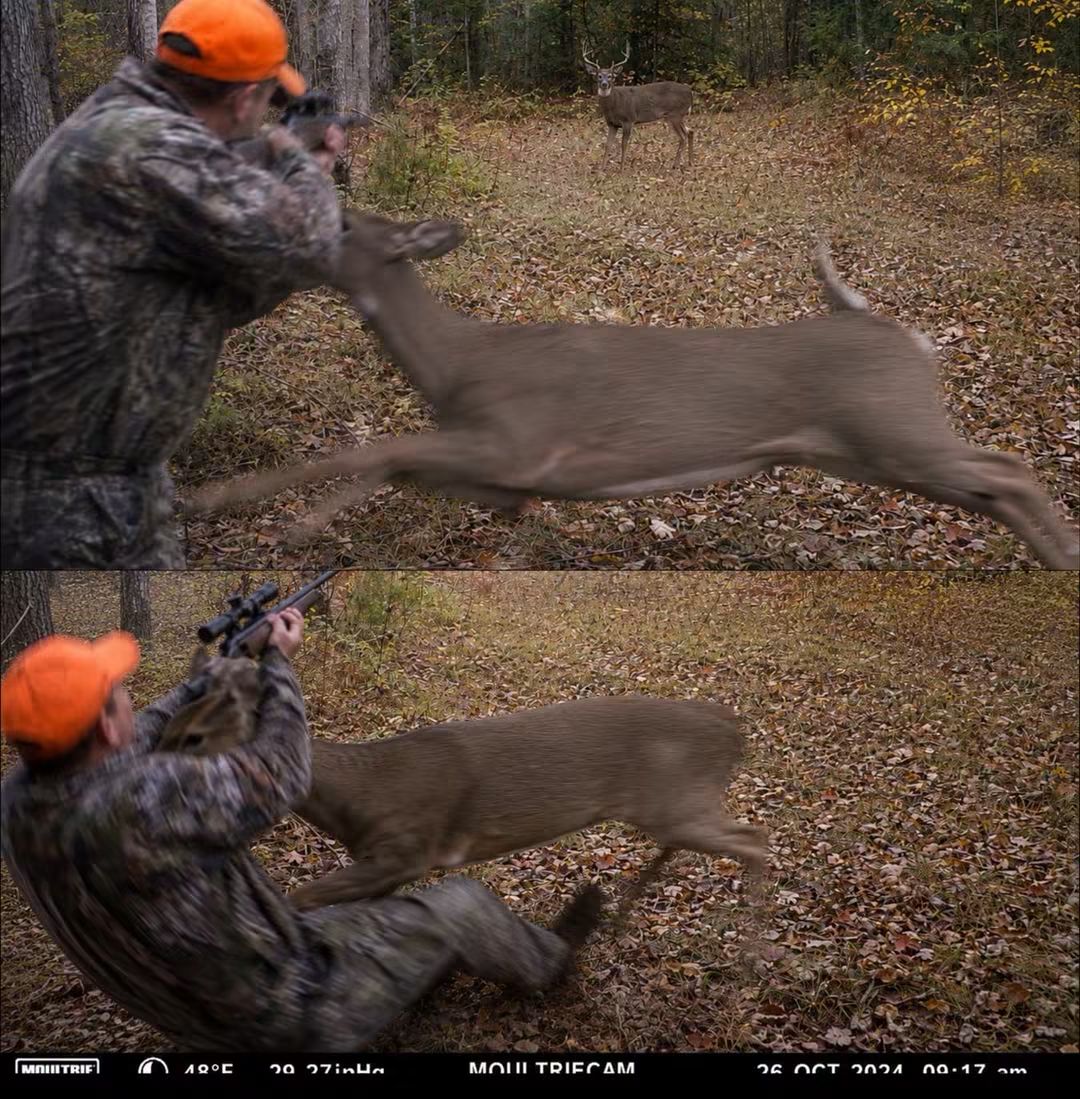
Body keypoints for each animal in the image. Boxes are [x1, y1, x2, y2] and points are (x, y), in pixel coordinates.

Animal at [158, 651, 766, 914]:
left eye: (193, 736)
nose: (153, 759)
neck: (359, 798)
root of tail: (730, 727)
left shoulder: (406, 848)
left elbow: (301, 895)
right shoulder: (386, 863)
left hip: (678, 795)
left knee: (755, 839)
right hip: (672, 805)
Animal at [188, 212, 1080, 570]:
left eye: (344, 224)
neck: (455, 360)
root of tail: (901, 333)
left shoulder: (517, 437)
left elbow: (377, 446)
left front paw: (240, 508)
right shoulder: (501, 475)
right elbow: (392, 461)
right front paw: (295, 525)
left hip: (892, 424)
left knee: (1007, 467)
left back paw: (1063, 558)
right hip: (867, 449)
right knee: (994, 479)